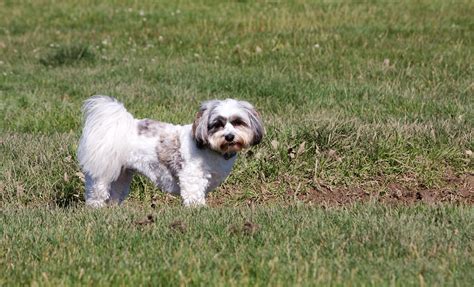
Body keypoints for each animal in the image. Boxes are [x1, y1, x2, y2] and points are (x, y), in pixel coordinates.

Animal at [77, 96, 262, 207]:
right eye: (217, 124)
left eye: (238, 122)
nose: (229, 136)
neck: (211, 148)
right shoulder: (192, 176)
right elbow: (194, 195)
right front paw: (199, 209)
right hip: (103, 171)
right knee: (97, 192)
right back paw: (96, 208)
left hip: (120, 173)